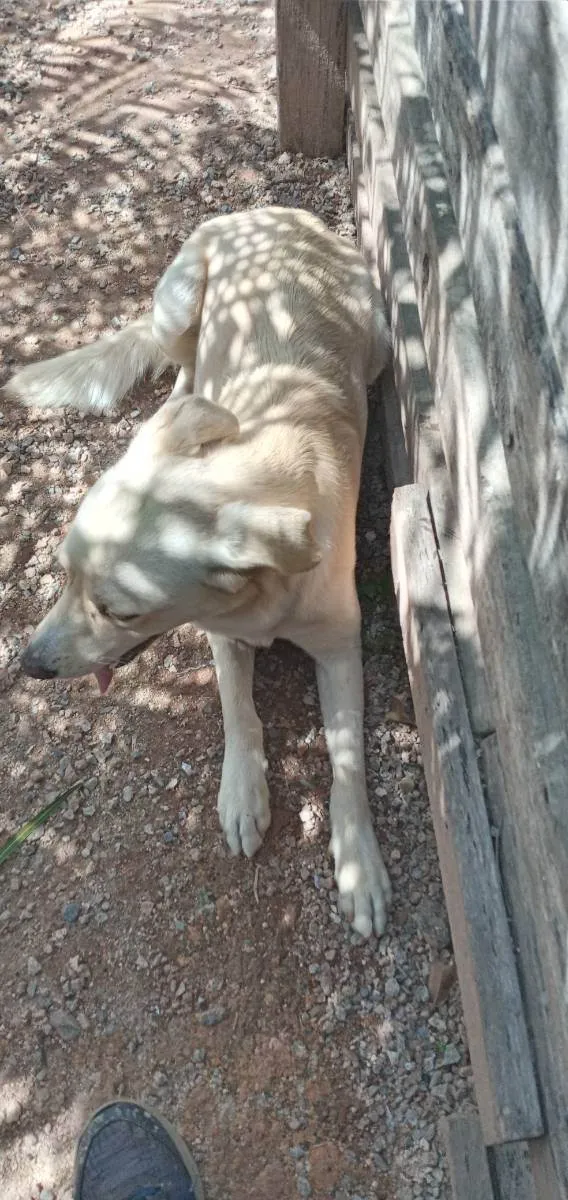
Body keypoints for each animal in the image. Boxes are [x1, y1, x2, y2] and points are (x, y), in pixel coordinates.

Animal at [4, 206, 391, 936]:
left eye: (120, 611)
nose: (30, 666)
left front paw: (360, 863)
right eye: (62, 575)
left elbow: (347, 753)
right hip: (178, 303)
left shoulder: (340, 646)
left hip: (381, 341)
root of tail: (276, 213)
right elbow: (239, 712)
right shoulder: (221, 633)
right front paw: (243, 793)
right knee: (181, 367)